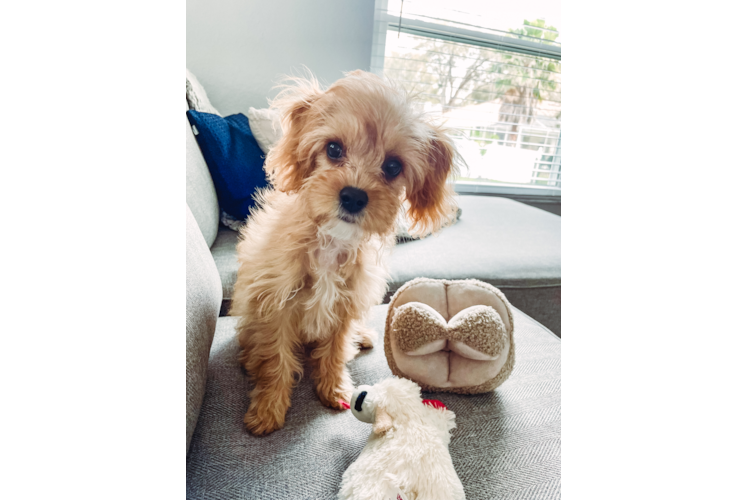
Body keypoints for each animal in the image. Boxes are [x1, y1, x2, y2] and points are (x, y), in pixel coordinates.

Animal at [231, 70, 458, 434]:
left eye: (393, 166)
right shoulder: (277, 304)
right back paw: (249, 359)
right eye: (334, 149)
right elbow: (276, 358)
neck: (331, 241)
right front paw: (268, 408)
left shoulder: (346, 303)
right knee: (251, 341)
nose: (353, 196)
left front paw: (335, 388)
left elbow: (336, 350)